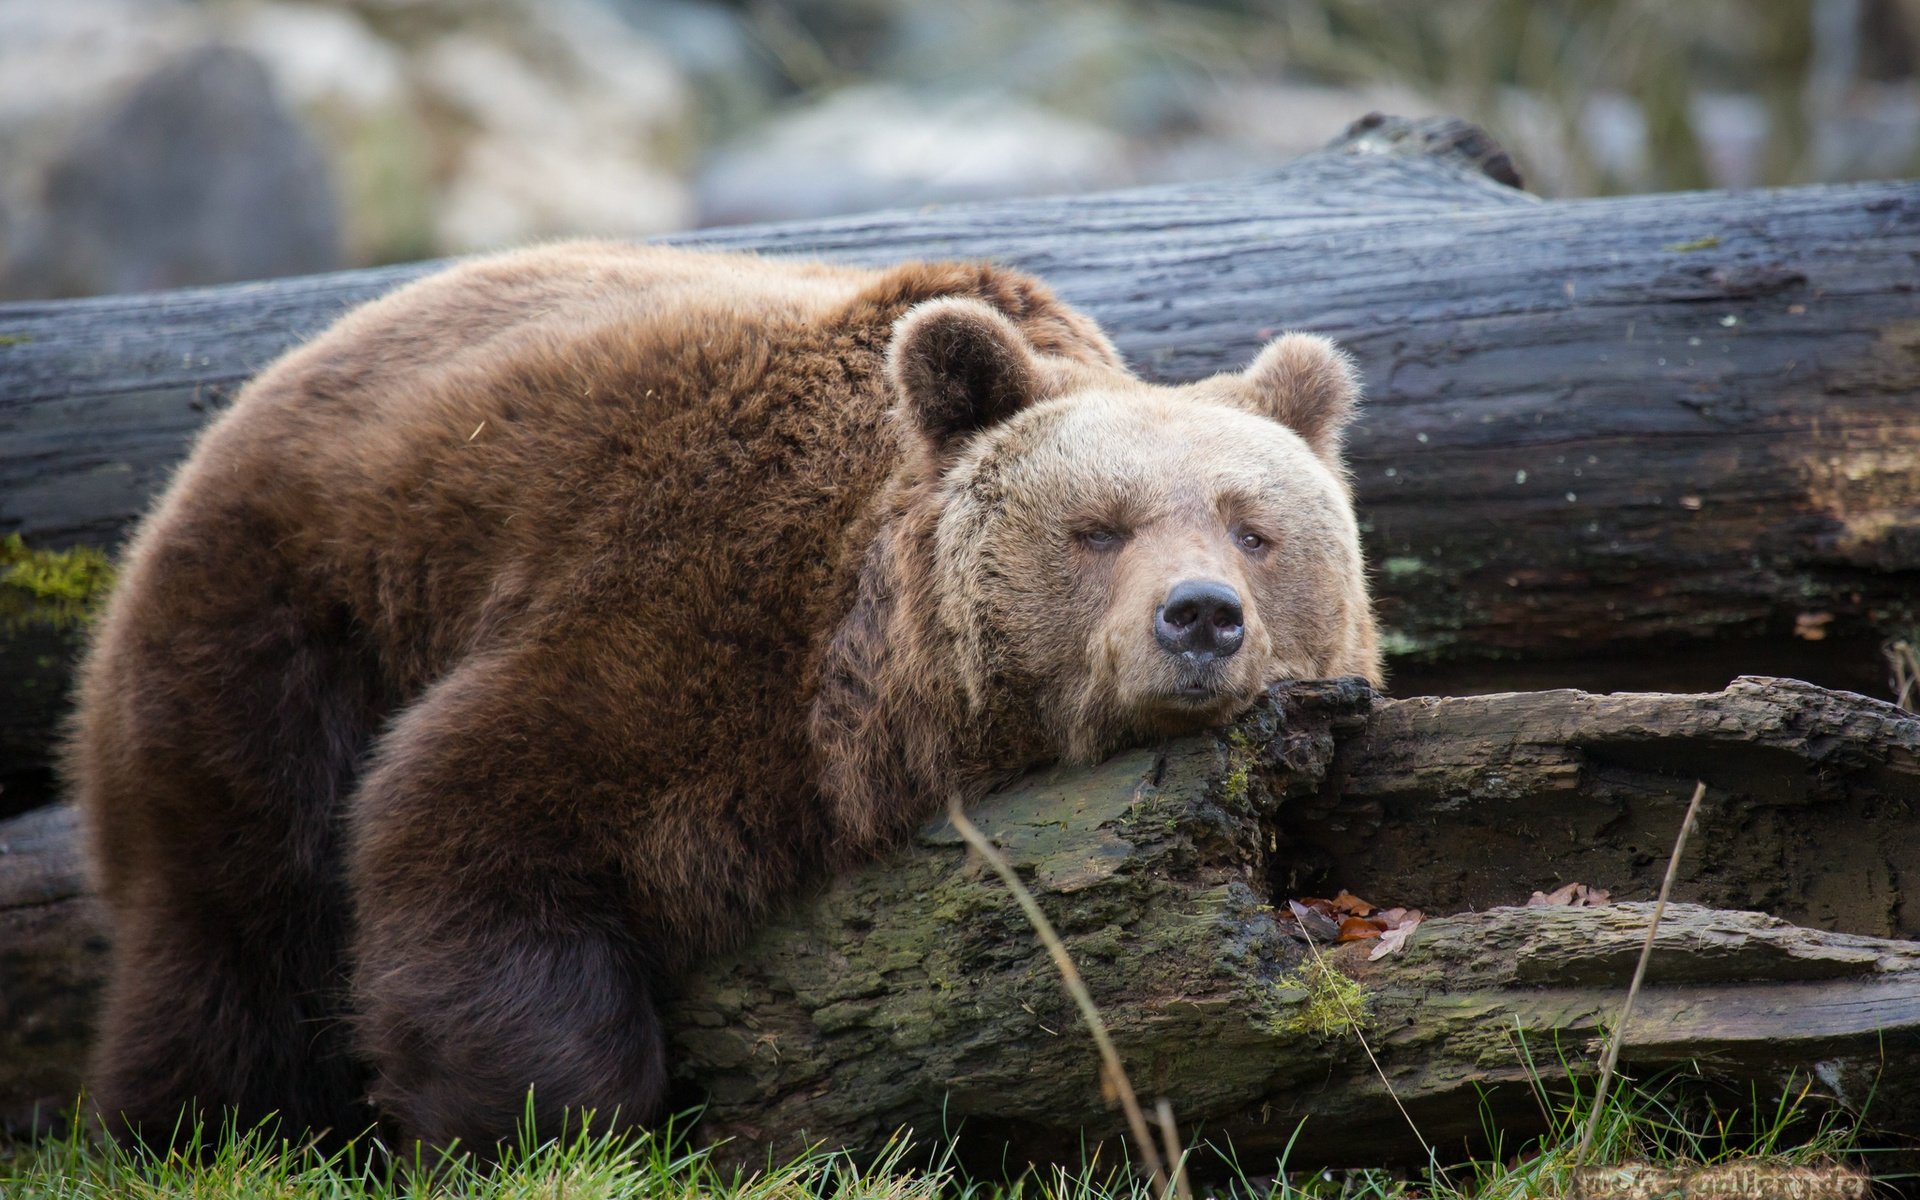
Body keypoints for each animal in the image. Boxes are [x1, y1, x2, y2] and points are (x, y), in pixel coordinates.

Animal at [63, 240, 1382, 1152]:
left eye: (1254, 529)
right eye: (1098, 528)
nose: (1200, 616)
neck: (872, 687)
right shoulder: (686, 612)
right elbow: (470, 821)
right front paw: (545, 1123)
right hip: (284, 622)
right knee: (235, 916)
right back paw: (193, 1130)